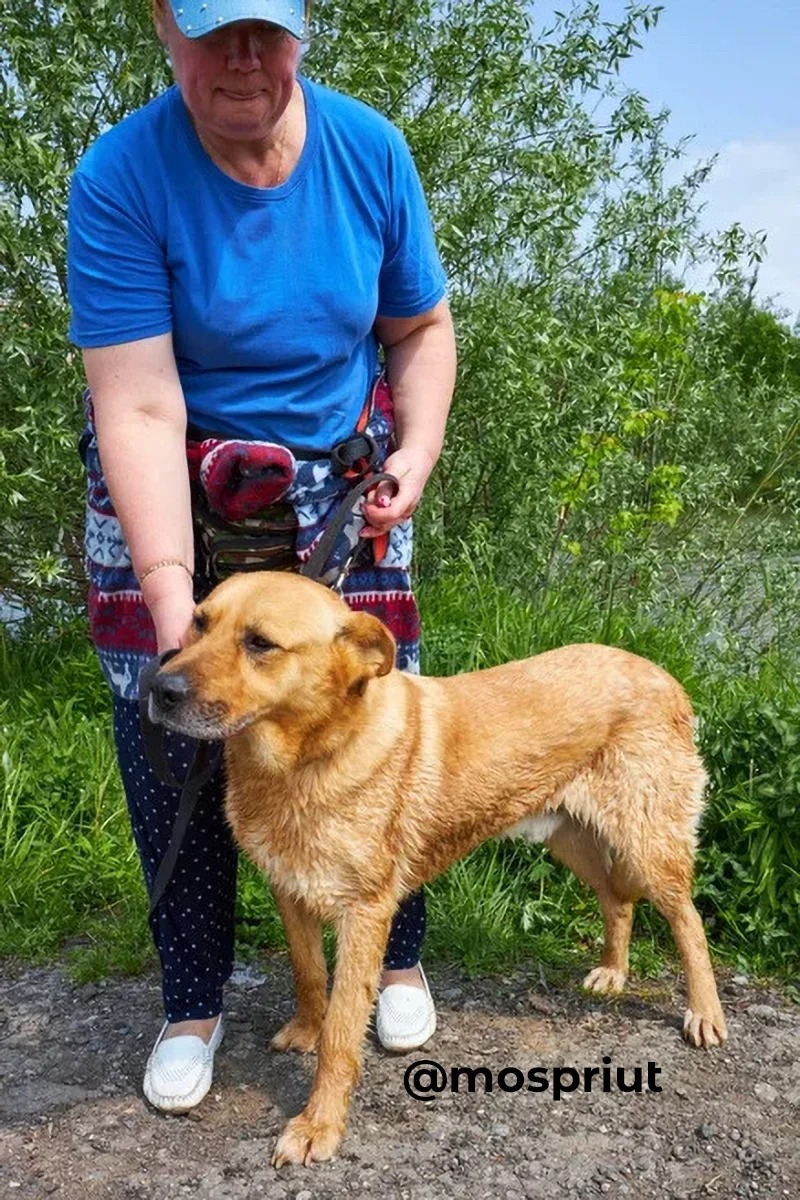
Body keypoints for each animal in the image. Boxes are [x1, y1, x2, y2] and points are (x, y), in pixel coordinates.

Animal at [146, 568, 729, 1161]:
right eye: (199, 623)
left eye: (260, 643)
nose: (159, 689)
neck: (307, 758)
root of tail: (665, 676)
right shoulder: (290, 891)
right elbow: (309, 977)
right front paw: (306, 1031)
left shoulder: (364, 915)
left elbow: (342, 1031)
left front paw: (319, 1124)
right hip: (570, 838)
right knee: (617, 901)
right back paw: (613, 970)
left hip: (647, 844)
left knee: (688, 921)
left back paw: (705, 1011)